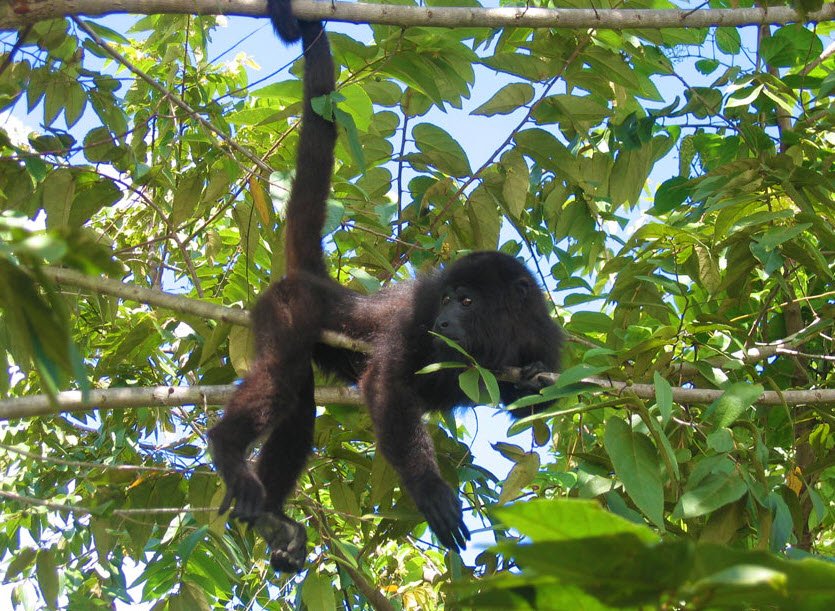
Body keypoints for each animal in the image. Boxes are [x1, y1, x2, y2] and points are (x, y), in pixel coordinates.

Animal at [207, 0, 563, 573]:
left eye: (467, 301)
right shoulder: (415, 319)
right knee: (281, 381)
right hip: (286, 308)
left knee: (299, 403)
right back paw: (225, 449)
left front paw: (532, 380)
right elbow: (385, 385)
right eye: (445, 300)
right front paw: (429, 489)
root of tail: (315, 281)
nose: (445, 320)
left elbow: (536, 413)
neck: (502, 335)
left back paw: (272, 519)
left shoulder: (545, 337)